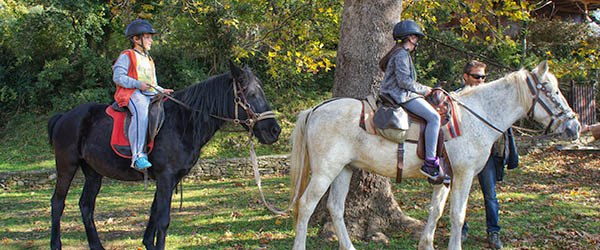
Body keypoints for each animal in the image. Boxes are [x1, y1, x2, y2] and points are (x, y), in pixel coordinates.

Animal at [47, 61, 282, 250]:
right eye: (250, 94)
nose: (274, 130)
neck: (182, 122)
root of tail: (64, 117)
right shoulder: (166, 177)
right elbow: (163, 219)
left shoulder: (169, 179)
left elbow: (154, 213)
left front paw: (148, 243)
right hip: (67, 166)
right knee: (58, 203)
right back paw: (56, 244)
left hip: (94, 173)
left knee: (86, 206)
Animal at [290, 61, 580, 250]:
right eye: (552, 91)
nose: (575, 126)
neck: (474, 117)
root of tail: (315, 109)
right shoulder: (463, 175)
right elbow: (457, 215)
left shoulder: (446, 179)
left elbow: (436, 211)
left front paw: (426, 244)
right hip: (325, 171)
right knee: (306, 205)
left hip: (344, 169)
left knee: (335, 208)